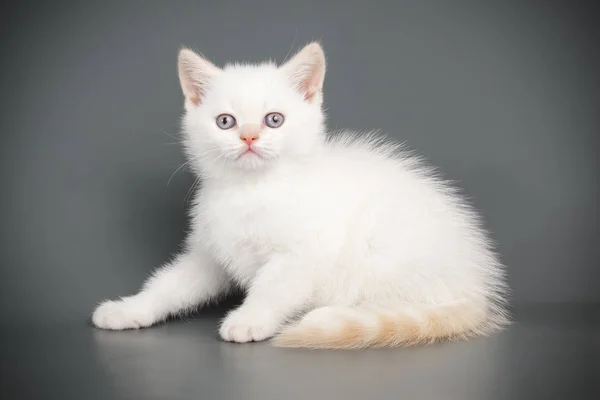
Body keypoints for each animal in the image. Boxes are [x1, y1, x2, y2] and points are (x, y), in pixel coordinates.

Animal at [91, 43, 508, 346]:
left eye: (274, 119)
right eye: (225, 121)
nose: (248, 137)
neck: (251, 191)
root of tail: (477, 289)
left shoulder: (304, 254)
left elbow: (272, 288)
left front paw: (249, 320)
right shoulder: (209, 254)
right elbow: (171, 284)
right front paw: (129, 309)